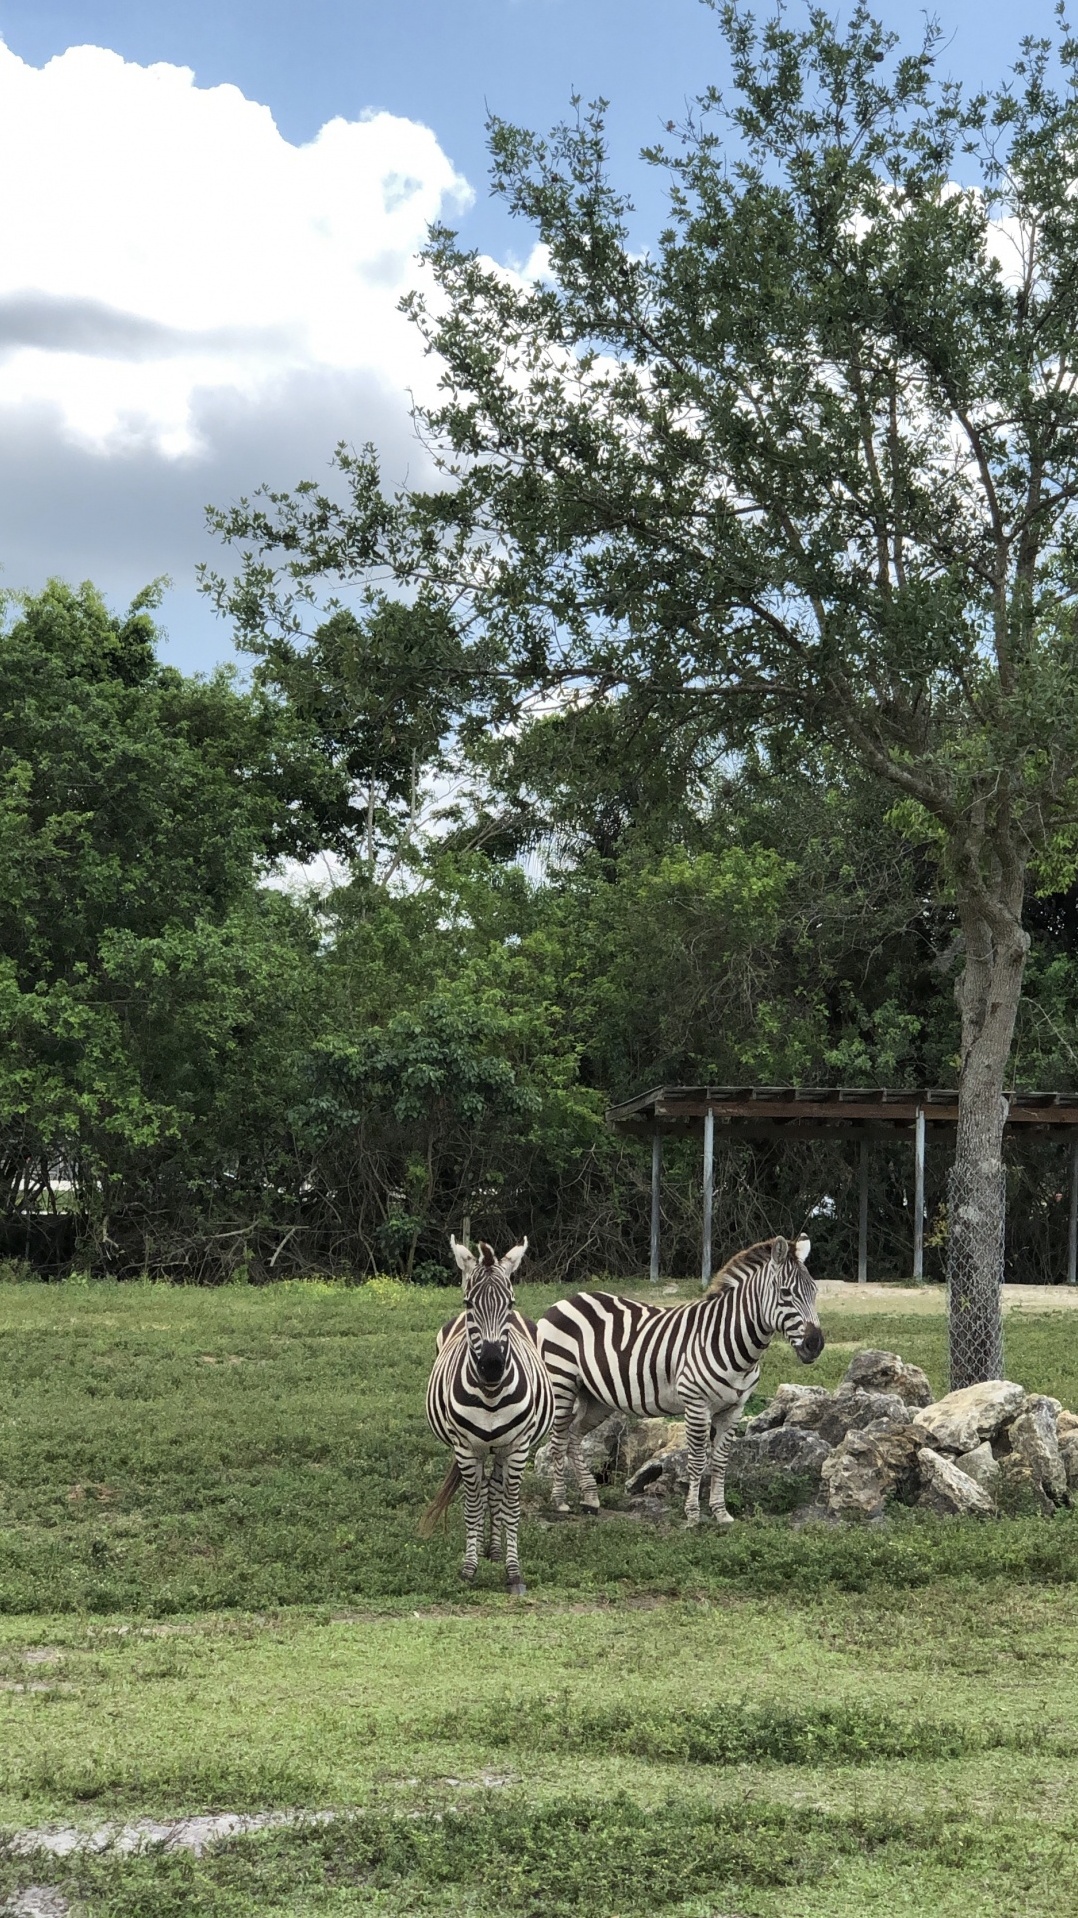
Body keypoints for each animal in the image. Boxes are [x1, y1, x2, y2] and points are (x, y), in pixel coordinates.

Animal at [418, 1235, 548, 1595]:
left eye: (510, 1304)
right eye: (468, 1304)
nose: (492, 1367)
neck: (490, 1395)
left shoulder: (518, 1447)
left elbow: (511, 1505)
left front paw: (513, 1572)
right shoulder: (465, 1449)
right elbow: (472, 1505)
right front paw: (469, 1568)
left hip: (503, 1449)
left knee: (497, 1490)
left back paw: (495, 1549)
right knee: (485, 1491)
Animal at [533, 1242, 817, 1526]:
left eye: (814, 1291)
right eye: (786, 1293)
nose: (815, 1344)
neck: (730, 1341)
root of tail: (565, 1300)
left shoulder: (734, 1409)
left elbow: (721, 1461)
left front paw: (721, 1513)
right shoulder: (696, 1404)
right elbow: (697, 1460)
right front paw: (693, 1515)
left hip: (596, 1397)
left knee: (573, 1436)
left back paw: (590, 1498)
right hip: (561, 1382)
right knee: (558, 1439)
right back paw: (560, 1501)